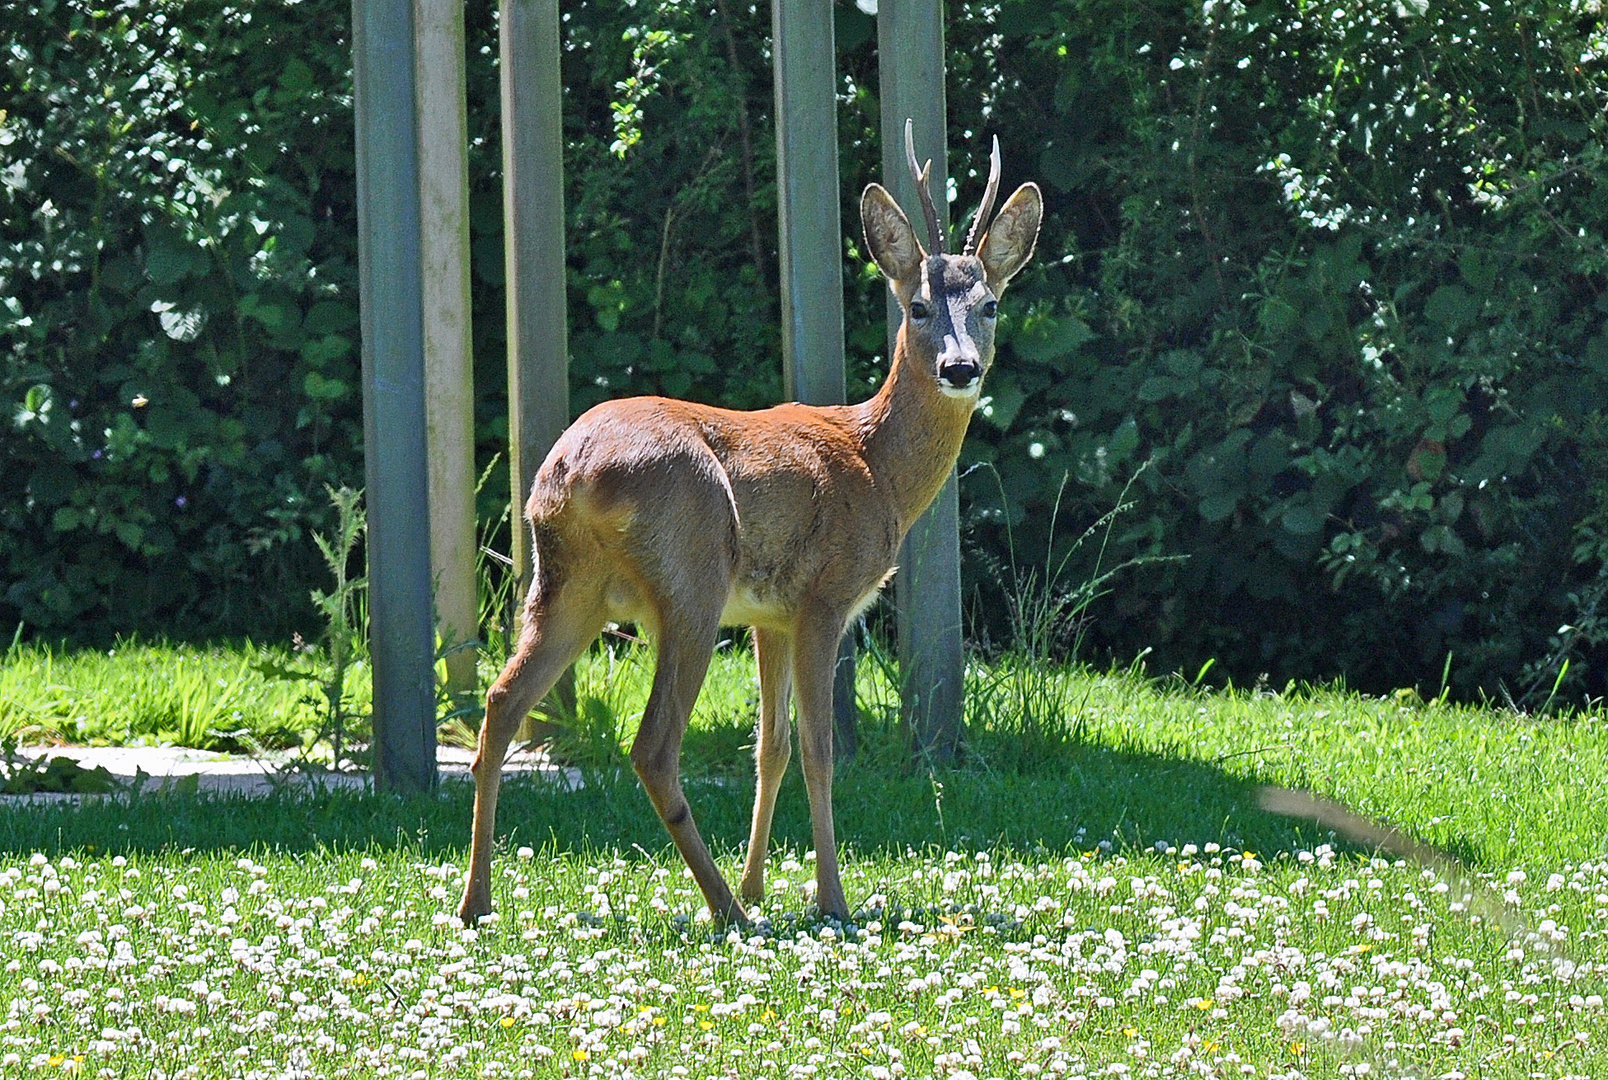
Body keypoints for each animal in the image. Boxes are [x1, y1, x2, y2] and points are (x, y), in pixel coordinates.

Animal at [466, 122, 1041, 925]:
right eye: (918, 306)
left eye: (989, 304)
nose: (960, 368)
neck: (876, 465)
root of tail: (570, 472)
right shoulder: (826, 597)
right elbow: (818, 750)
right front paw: (829, 899)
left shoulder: (770, 614)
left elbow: (769, 748)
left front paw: (758, 883)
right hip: (691, 581)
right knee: (652, 745)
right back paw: (723, 912)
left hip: (564, 585)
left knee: (501, 705)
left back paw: (478, 903)